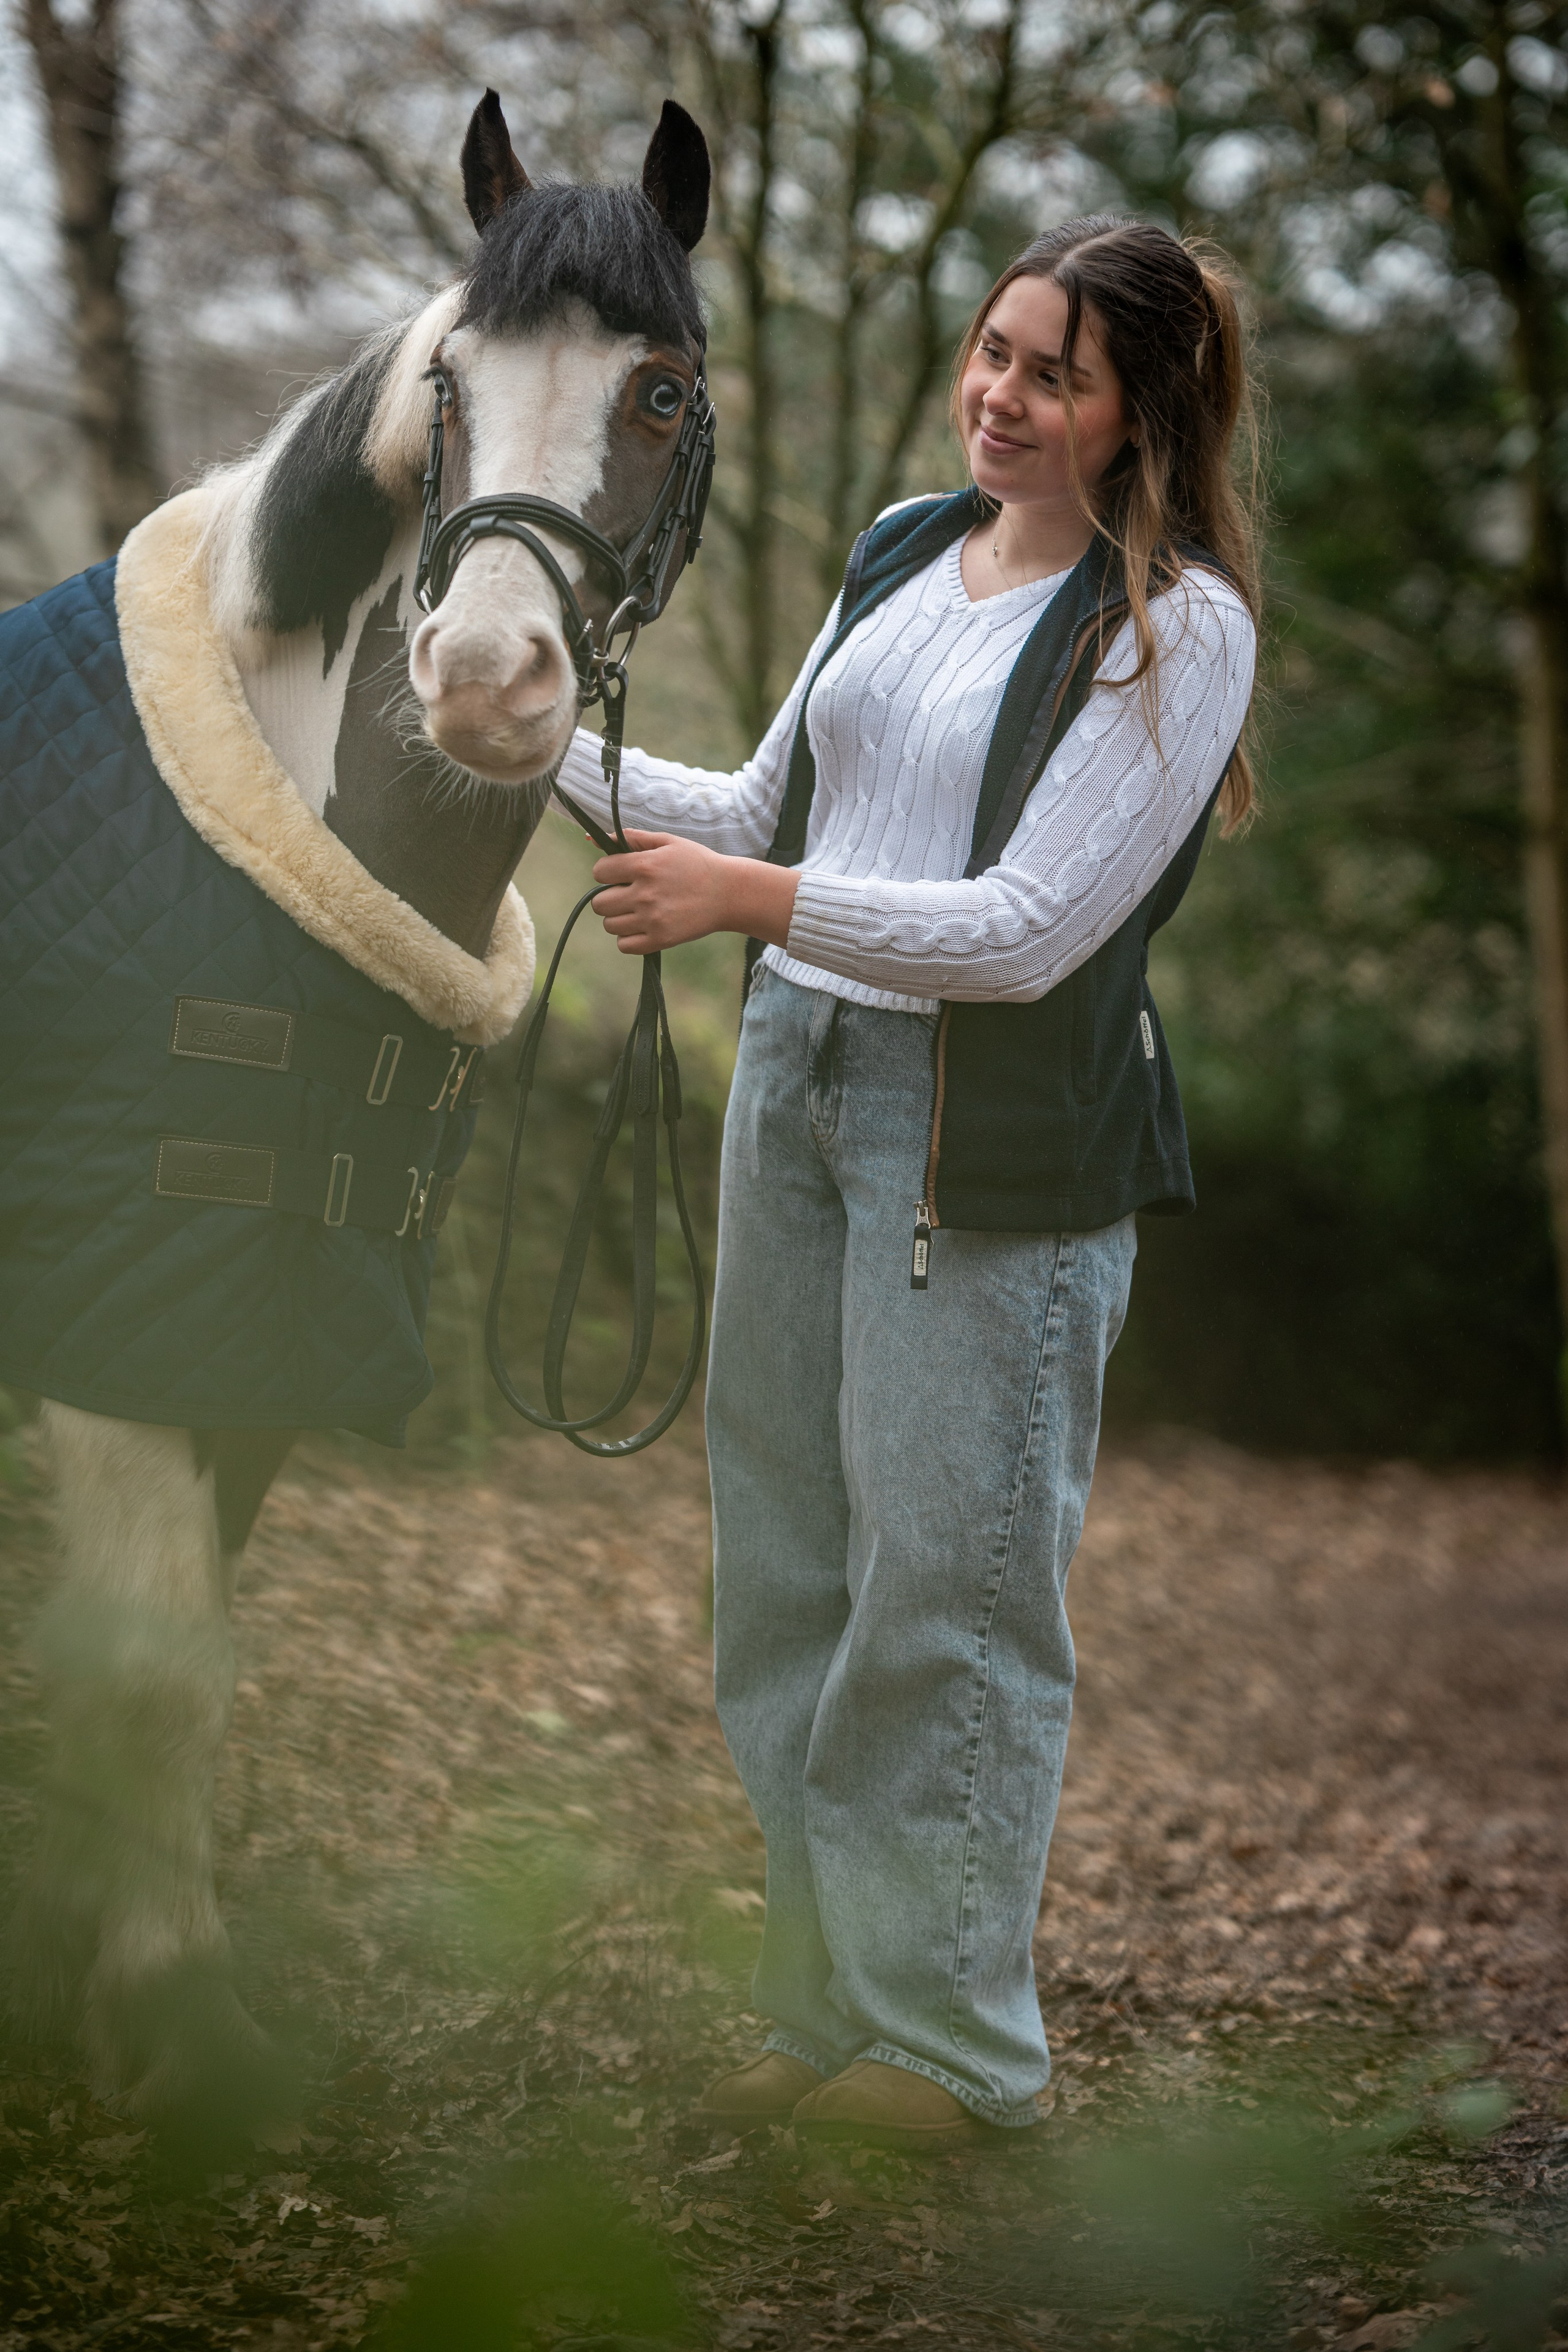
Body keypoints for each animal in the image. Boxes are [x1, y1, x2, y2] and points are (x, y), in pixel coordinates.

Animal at [0, 87, 712, 2133]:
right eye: (449, 379)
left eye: (661, 389)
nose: (484, 680)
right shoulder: (115, 1290)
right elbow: (158, 1660)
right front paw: (177, 2018)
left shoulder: (248, 1295)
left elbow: (162, 1639)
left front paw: (73, 1964)